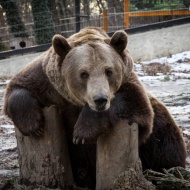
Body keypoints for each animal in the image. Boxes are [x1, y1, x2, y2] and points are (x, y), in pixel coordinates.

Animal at [2, 27, 186, 189]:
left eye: (109, 71)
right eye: (84, 73)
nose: (100, 99)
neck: (75, 101)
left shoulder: (129, 83)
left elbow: (136, 107)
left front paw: (82, 133)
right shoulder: (48, 84)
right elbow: (18, 87)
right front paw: (34, 126)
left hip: (161, 133)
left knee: (166, 144)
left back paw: (168, 173)